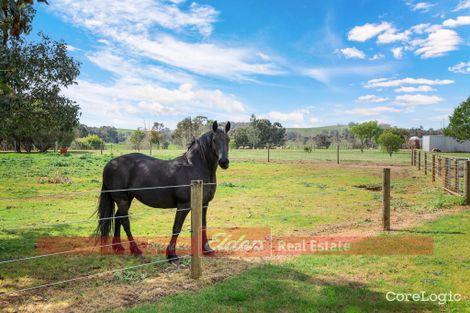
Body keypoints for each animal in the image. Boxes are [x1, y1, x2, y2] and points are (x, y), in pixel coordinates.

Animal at [98, 120, 231, 260]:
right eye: (214, 140)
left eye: (228, 139)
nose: (224, 162)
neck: (194, 167)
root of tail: (110, 164)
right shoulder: (184, 205)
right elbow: (177, 227)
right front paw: (171, 254)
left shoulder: (204, 204)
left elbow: (203, 225)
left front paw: (206, 249)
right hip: (122, 199)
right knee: (124, 221)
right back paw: (135, 250)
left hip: (127, 199)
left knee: (118, 218)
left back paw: (118, 247)